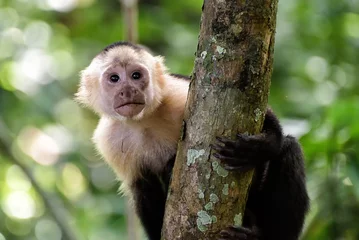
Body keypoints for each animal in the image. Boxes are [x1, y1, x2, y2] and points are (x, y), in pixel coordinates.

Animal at [76, 41, 310, 240]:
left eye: (135, 75)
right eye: (114, 78)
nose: (128, 90)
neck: (142, 121)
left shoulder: (176, 93)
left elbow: (263, 115)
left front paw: (258, 148)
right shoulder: (109, 140)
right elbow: (143, 188)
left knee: (289, 148)